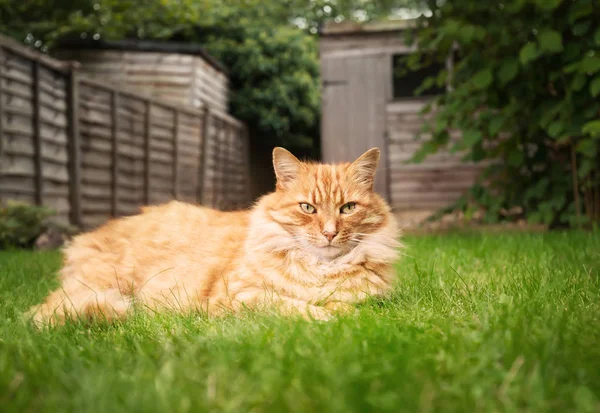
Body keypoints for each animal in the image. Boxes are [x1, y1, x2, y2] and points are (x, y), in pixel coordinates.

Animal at [29, 146, 404, 324]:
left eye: (347, 208)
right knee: (39, 315)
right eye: (307, 208)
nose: (329, 233)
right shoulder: (238, 298)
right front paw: (327, 316)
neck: (320, 271)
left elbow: (345, 305)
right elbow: (295, 307)